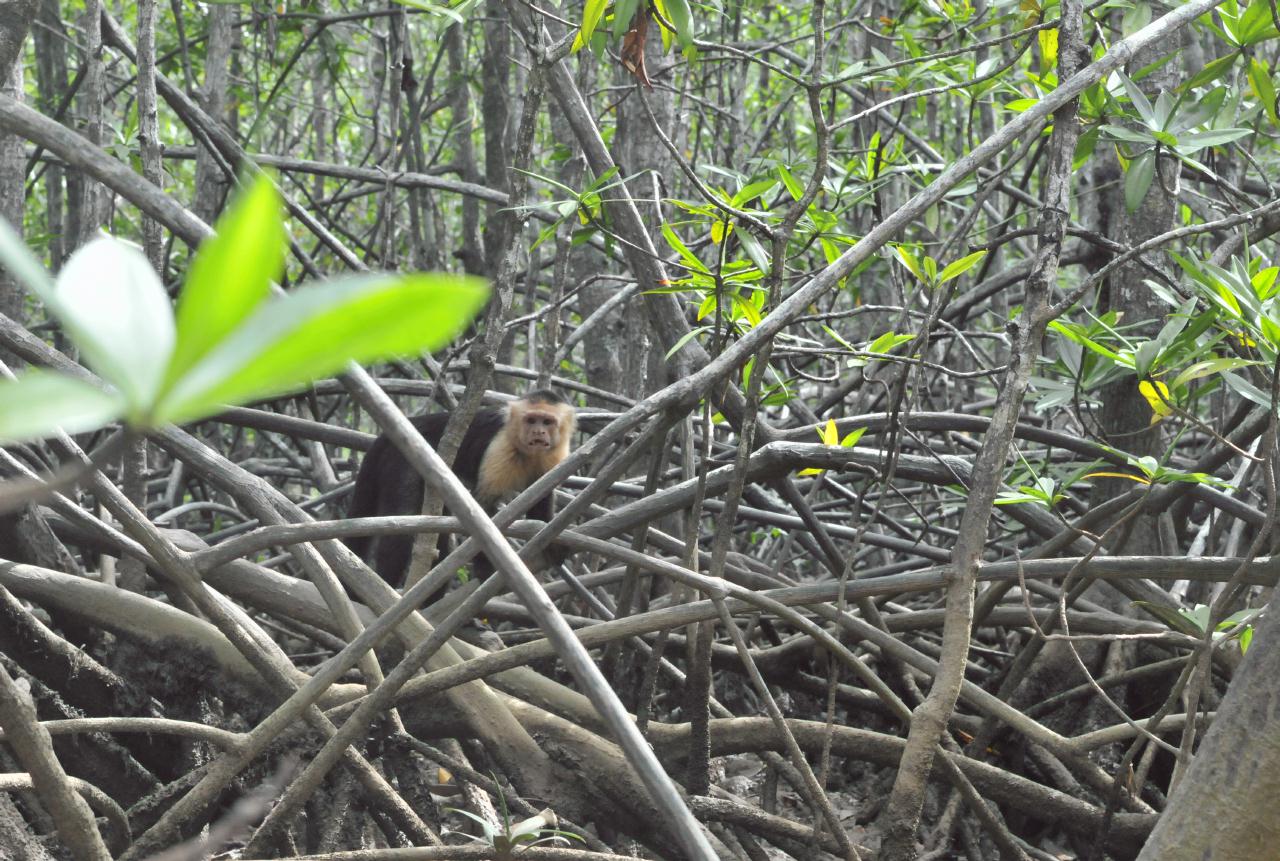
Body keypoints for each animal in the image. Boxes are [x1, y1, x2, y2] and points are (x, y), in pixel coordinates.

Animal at [345, 391, 576, 588]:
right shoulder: (500, 445)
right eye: (531, 420)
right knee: (401, 533)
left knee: (440, 541)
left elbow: (541, 496)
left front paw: (550, 540)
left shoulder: (553, 455)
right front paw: (486, 567)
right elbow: (484, 508)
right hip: (401, 460)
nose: (538, 431)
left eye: (547, 422)